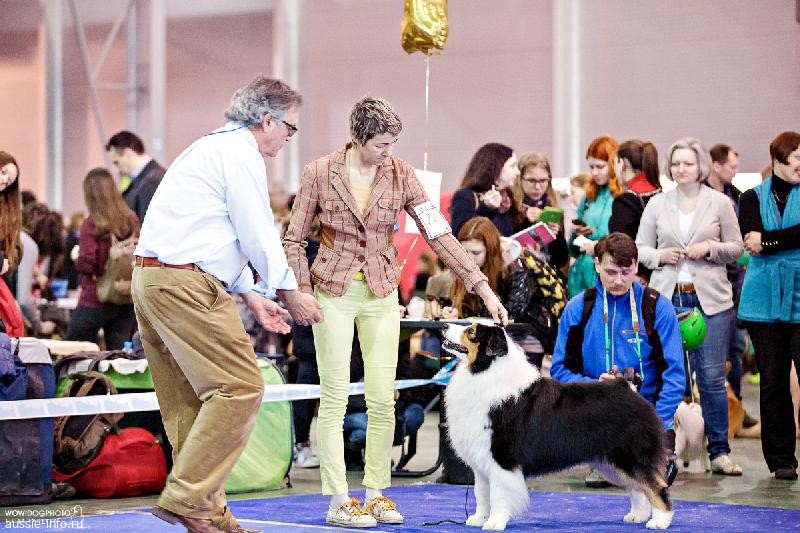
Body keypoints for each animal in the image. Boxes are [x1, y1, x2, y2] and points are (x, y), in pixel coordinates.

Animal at [443, 322, 674, 530]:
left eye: (471, 332)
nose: (444, 326)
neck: (486, 371)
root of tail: (628, 387)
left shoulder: (502, 458)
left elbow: (499, 494)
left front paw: (494, 523)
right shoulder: (482, 462)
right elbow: (481, 494)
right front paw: (478, 519)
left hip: (631, 455)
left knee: (656, 486)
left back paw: (660, 521)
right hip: (612, 463)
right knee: (637, 489)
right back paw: (637, 516)